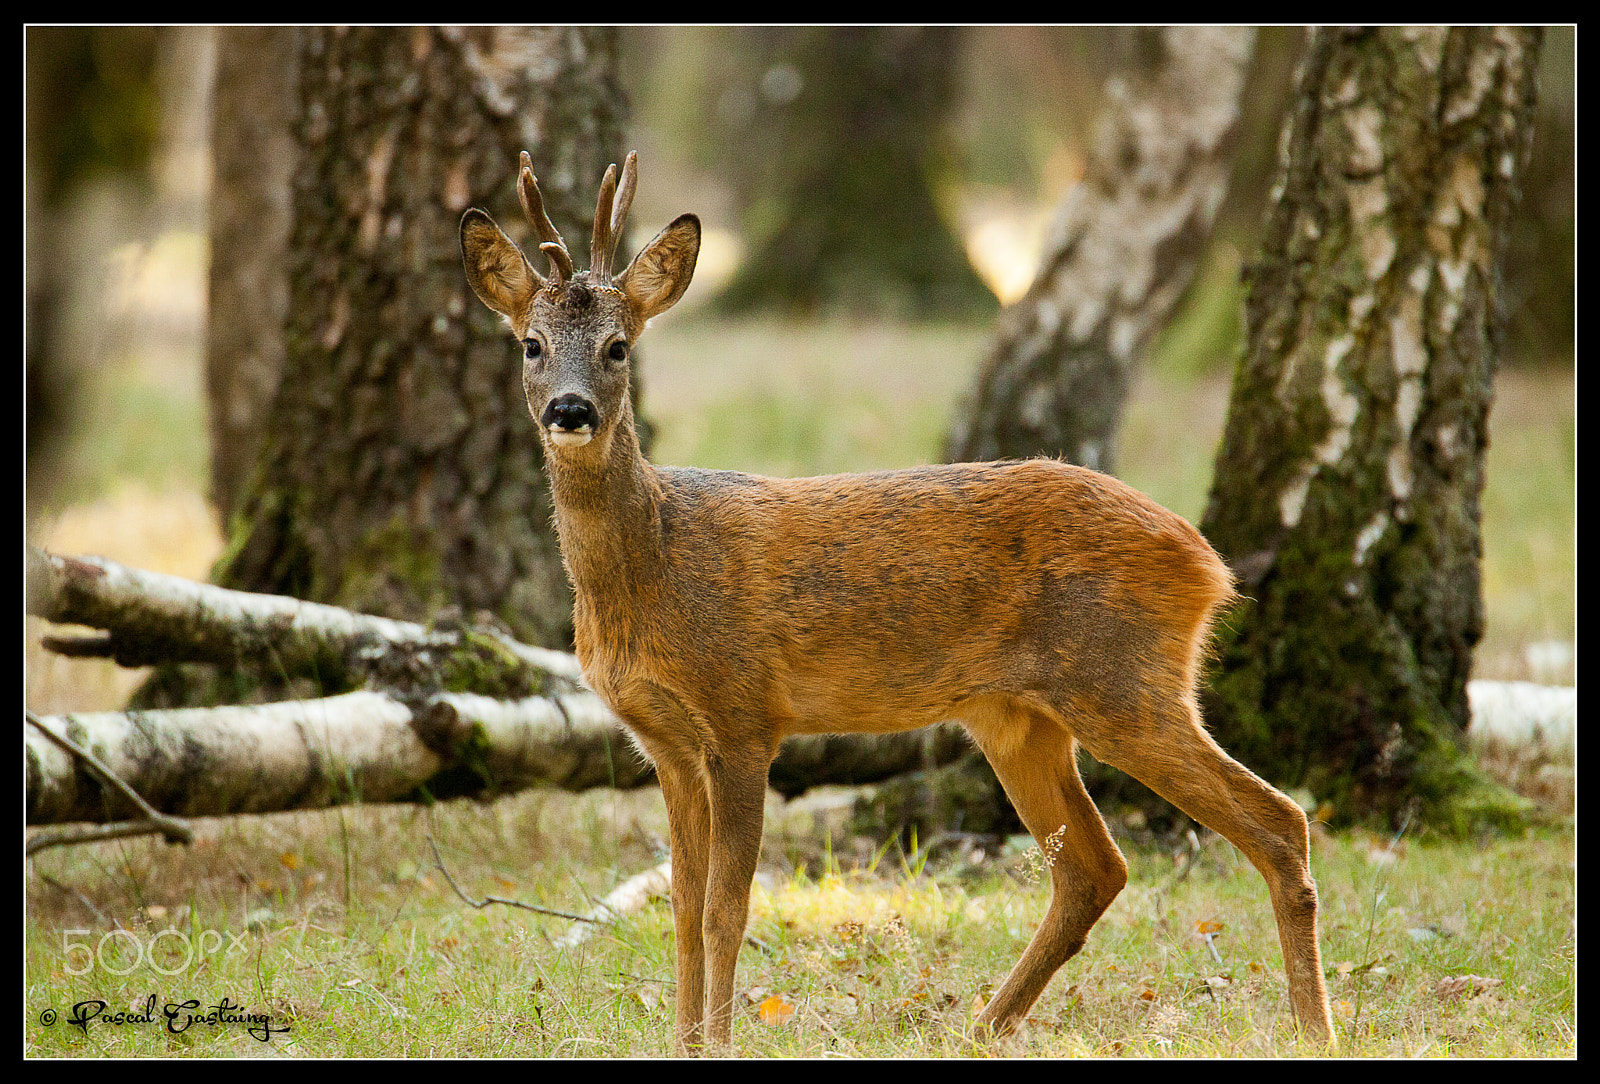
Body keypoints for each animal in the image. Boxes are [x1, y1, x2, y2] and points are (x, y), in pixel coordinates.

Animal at [459, 151, 1336, 1055]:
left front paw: (721, 1043)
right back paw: (984, 1026)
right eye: (530, 344)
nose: (570, 410)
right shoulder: (665, 741)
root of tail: (1208, 563)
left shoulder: (744, 717)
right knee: (1095, 866)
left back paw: (1312, 1028)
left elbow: (724, 908)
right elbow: (680, 907)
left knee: (1278, 822)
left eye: (618, 347)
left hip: (1124, 681)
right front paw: (685, 1043)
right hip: (1017, 716)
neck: (654, 567)